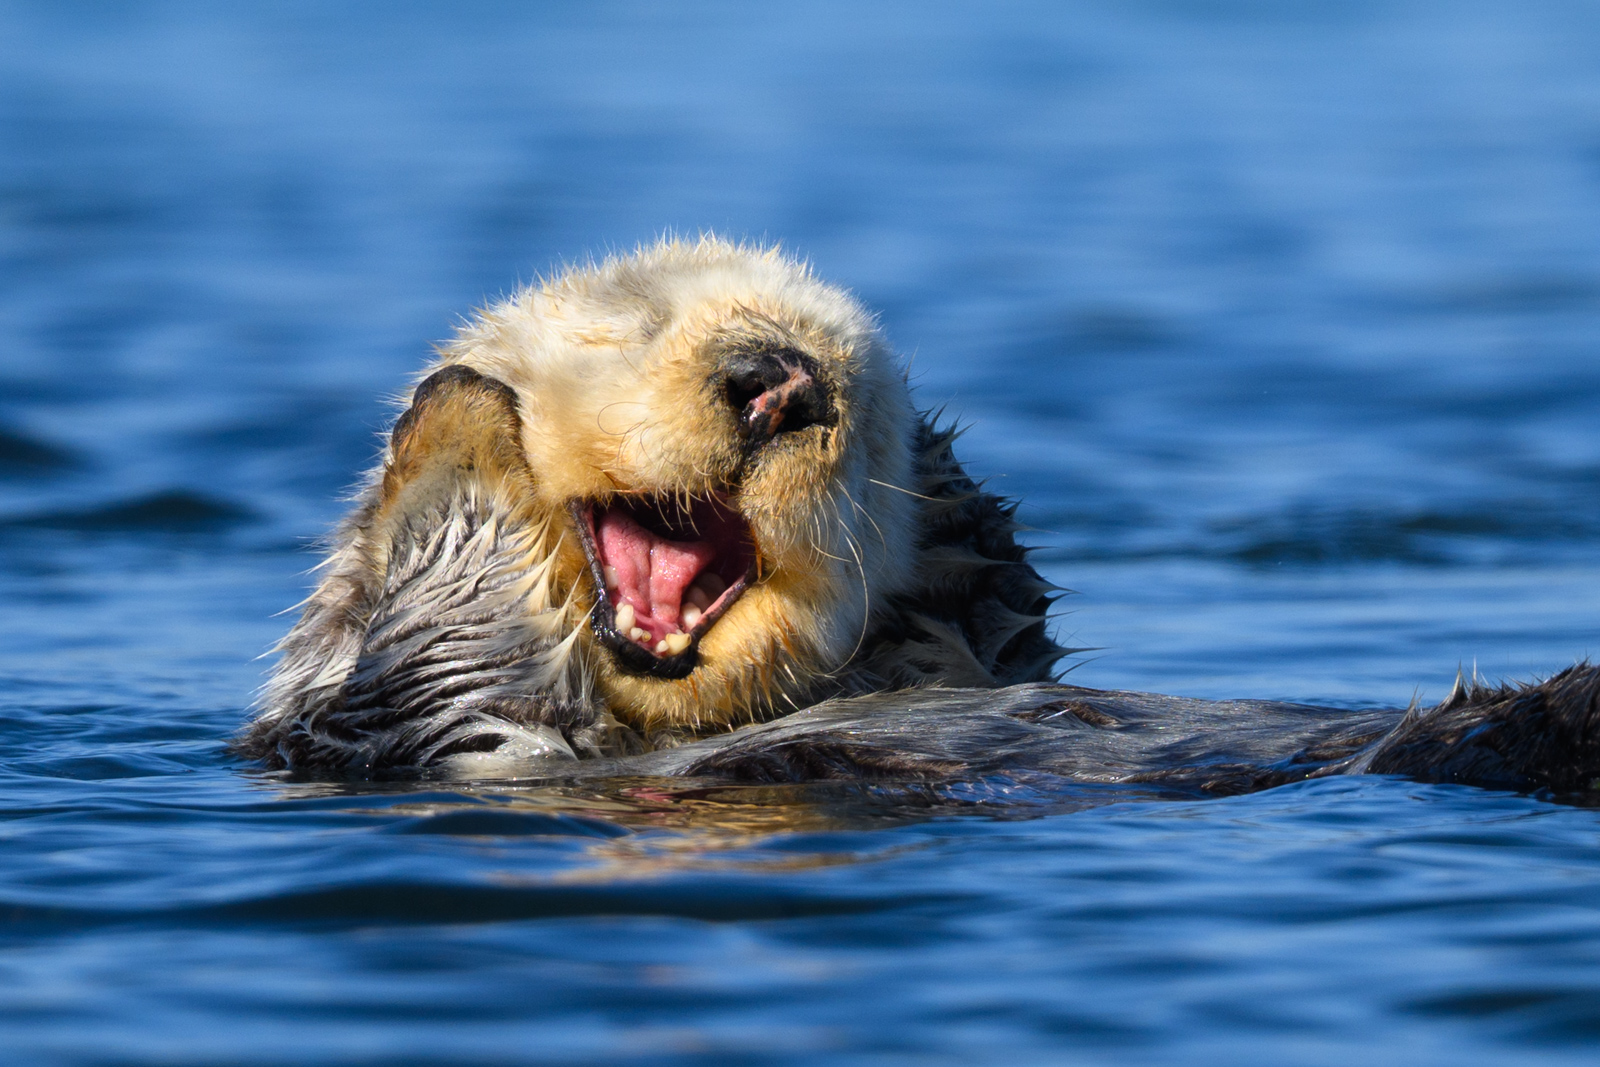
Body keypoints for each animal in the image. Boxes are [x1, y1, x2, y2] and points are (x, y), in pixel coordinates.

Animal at [238, 238, 1600, 800]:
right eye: (628, 323)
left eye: (870, 403)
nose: (777, 379)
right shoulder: (412, 729)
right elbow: (444, 642)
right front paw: (461, 416)